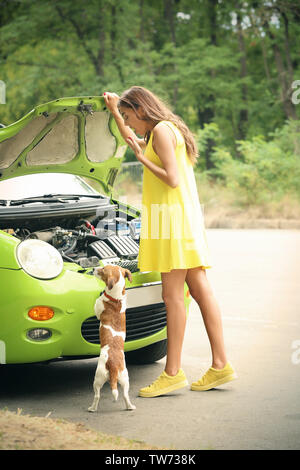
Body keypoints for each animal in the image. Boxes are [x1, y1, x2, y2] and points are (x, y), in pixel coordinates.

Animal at [87, 264, 135, 412]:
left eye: (103, 269)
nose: (94, 268)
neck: (116, 299)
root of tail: (113, 365)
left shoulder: (97, 308)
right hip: (125, 378)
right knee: (125, 395)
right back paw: (130, 407)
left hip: (98, 378)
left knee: (97, 395)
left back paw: (92, 408)